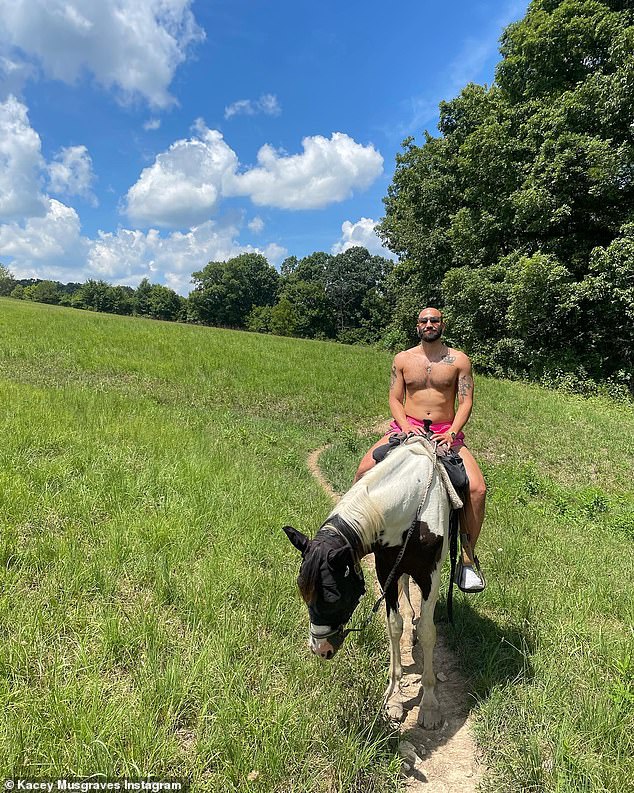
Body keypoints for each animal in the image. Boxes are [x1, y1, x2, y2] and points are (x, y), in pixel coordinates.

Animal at [284, 434, 462, 732]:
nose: (320, 649)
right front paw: (394, 699)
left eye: (333, 597)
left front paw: (429, 706)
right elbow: (394, 626)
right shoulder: (385, 569)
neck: (411, 506)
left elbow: (428, 631)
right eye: (303, 592)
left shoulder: (431, 575)